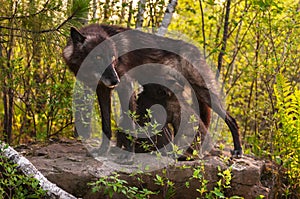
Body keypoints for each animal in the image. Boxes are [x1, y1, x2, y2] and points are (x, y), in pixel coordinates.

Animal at [62, 22, 243, 157]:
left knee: (231, 120)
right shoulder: (103, 90)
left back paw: (238, 150)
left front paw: (127, 156)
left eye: (112, 57)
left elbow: (129, 122)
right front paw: (102, 151)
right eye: (98, 57)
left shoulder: (126, 85)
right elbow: (106, 125)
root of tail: (196, 49)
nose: (115, 80)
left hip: (205, 93)